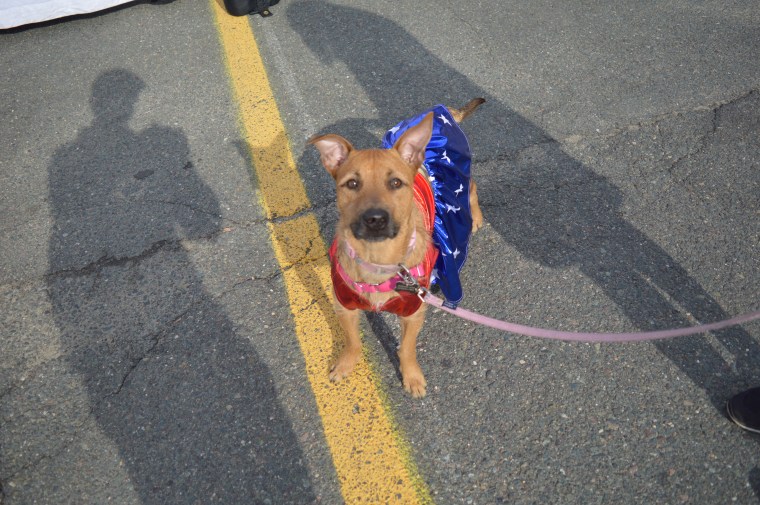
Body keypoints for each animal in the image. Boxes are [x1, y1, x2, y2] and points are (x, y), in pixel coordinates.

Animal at [309, 98, 485, 397]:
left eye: (395, 183)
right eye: (352, 184)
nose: (375, 220)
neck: (378, 260)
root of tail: (441, 111)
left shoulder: (413, 312)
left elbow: (407, 350)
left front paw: (411, 376)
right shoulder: (344, 304)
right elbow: (353, 341)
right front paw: (346, 363)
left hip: (460, 179)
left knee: (471, 188)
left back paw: (477, 216)